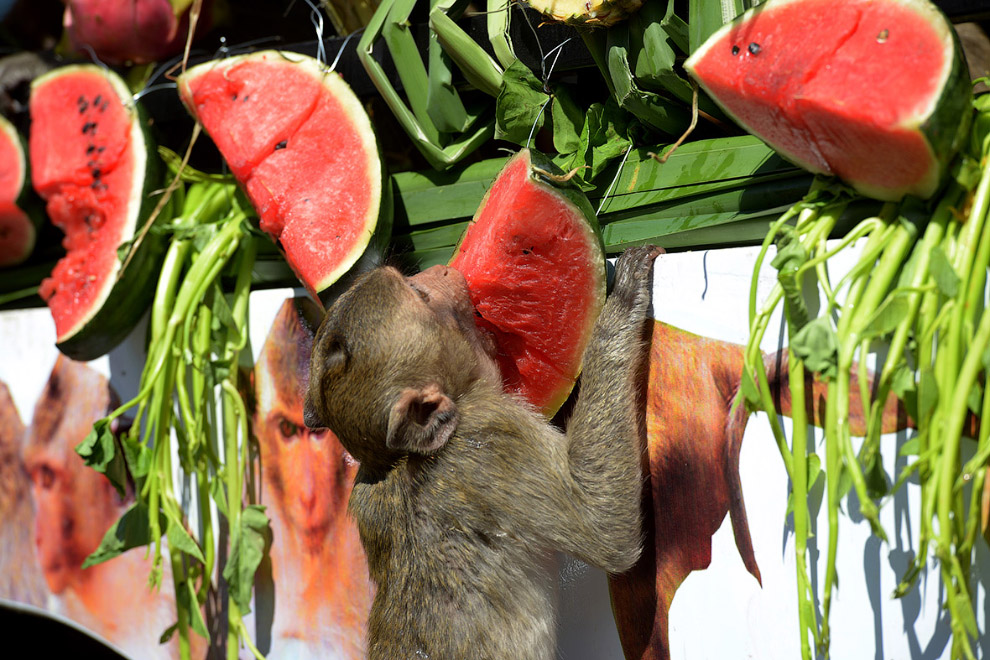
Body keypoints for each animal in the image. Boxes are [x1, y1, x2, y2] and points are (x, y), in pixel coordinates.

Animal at [303, 245, 660, 660]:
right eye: (421, 296)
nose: (441, 270)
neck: (394, 461)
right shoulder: (491, 437)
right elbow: (605, 529)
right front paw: (624, 302)